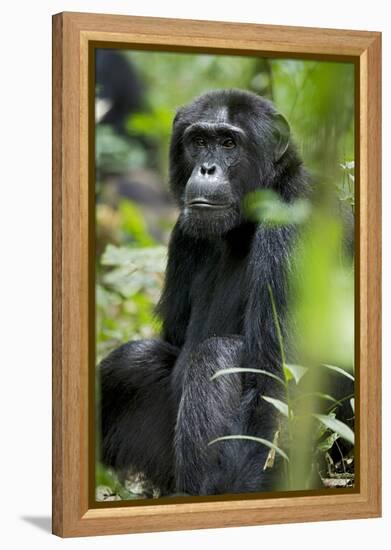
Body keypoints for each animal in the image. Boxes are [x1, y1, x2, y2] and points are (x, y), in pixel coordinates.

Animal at [99, 89, 310, 496]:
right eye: (198, 142)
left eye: (228, 143)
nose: (208, 168)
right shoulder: (182, 234)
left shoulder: (290, 235)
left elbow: (276, 392)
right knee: (134, 360)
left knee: (217, 356)